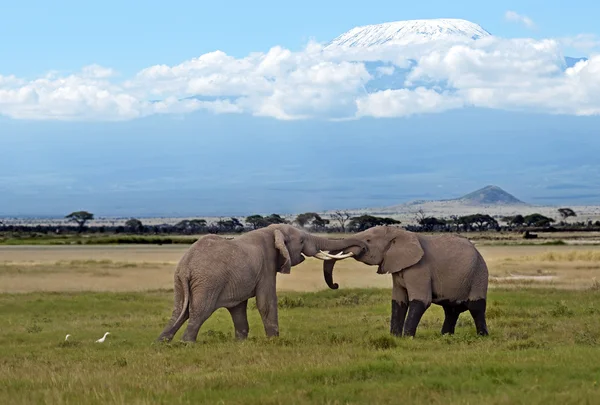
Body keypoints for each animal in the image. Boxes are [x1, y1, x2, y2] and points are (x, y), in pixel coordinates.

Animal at [157, 223, 364, 342]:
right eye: (302, 240)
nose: (363, 248)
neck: (272, 230)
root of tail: (187, 267)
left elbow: (238, 308)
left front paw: (240, 342)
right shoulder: (266, 267)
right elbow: (266, 302)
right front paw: (274, 341)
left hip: (180, 282)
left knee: (179, 310)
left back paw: (162, 342)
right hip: (207, 283)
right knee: (199, 312)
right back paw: (186, 343)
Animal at [318, 226, 488, 336]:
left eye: (368, 240)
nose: (335, 285)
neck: (399, 233)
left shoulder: (419, 268)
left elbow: (421, 300)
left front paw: (407, 338)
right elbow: (398, 301)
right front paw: (395, 337)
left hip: (479, 274)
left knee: (476, 307)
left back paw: (482, 336)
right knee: (451, 309)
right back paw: (445, 336)